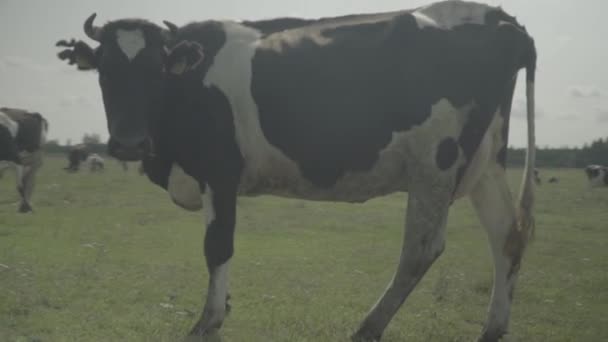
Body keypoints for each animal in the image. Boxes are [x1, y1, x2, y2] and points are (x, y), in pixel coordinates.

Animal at [57, 1, 536, 340]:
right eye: (104, 71)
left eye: (156, 72)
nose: (129, 143)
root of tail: (500, 18)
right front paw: (222, 306)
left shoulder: (220, 171)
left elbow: (218, 246)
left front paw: (208, 320)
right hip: (486, 162)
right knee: (506, 235)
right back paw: (492, 327)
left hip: (436, 162)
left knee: (422, 249)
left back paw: (368, 327)